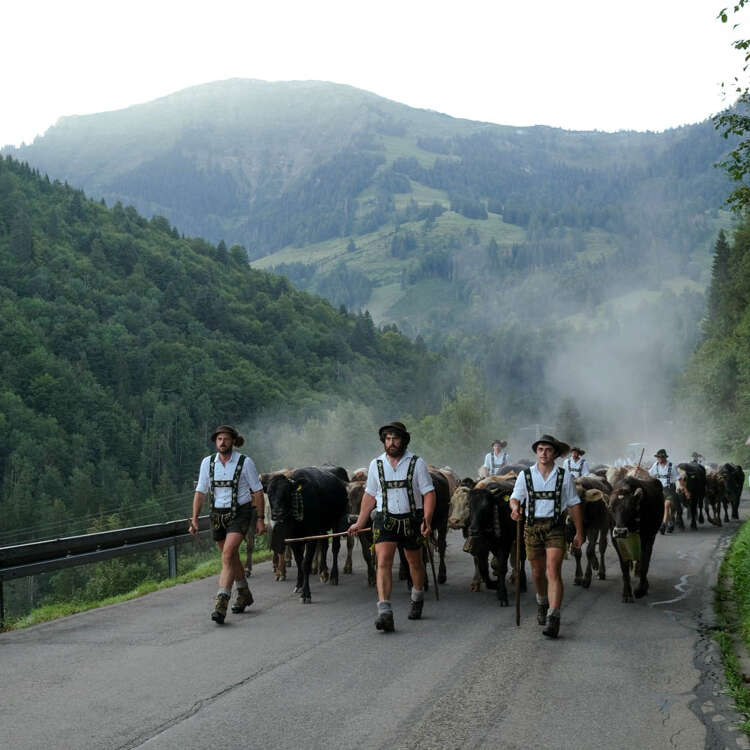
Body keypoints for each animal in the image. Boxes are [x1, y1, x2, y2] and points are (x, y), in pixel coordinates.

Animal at [268, 470, 352, 604]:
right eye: (269, 493)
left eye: (286, 492)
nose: (277, 513)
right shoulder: (293, 540)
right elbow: (299, 562)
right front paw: (299, 585)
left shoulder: (311, 537)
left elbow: (305, 564)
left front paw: (306, 593)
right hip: (322, 528)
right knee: (324, 545)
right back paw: (324, 572)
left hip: (337, 521)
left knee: (335, 548)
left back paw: (334, 576)